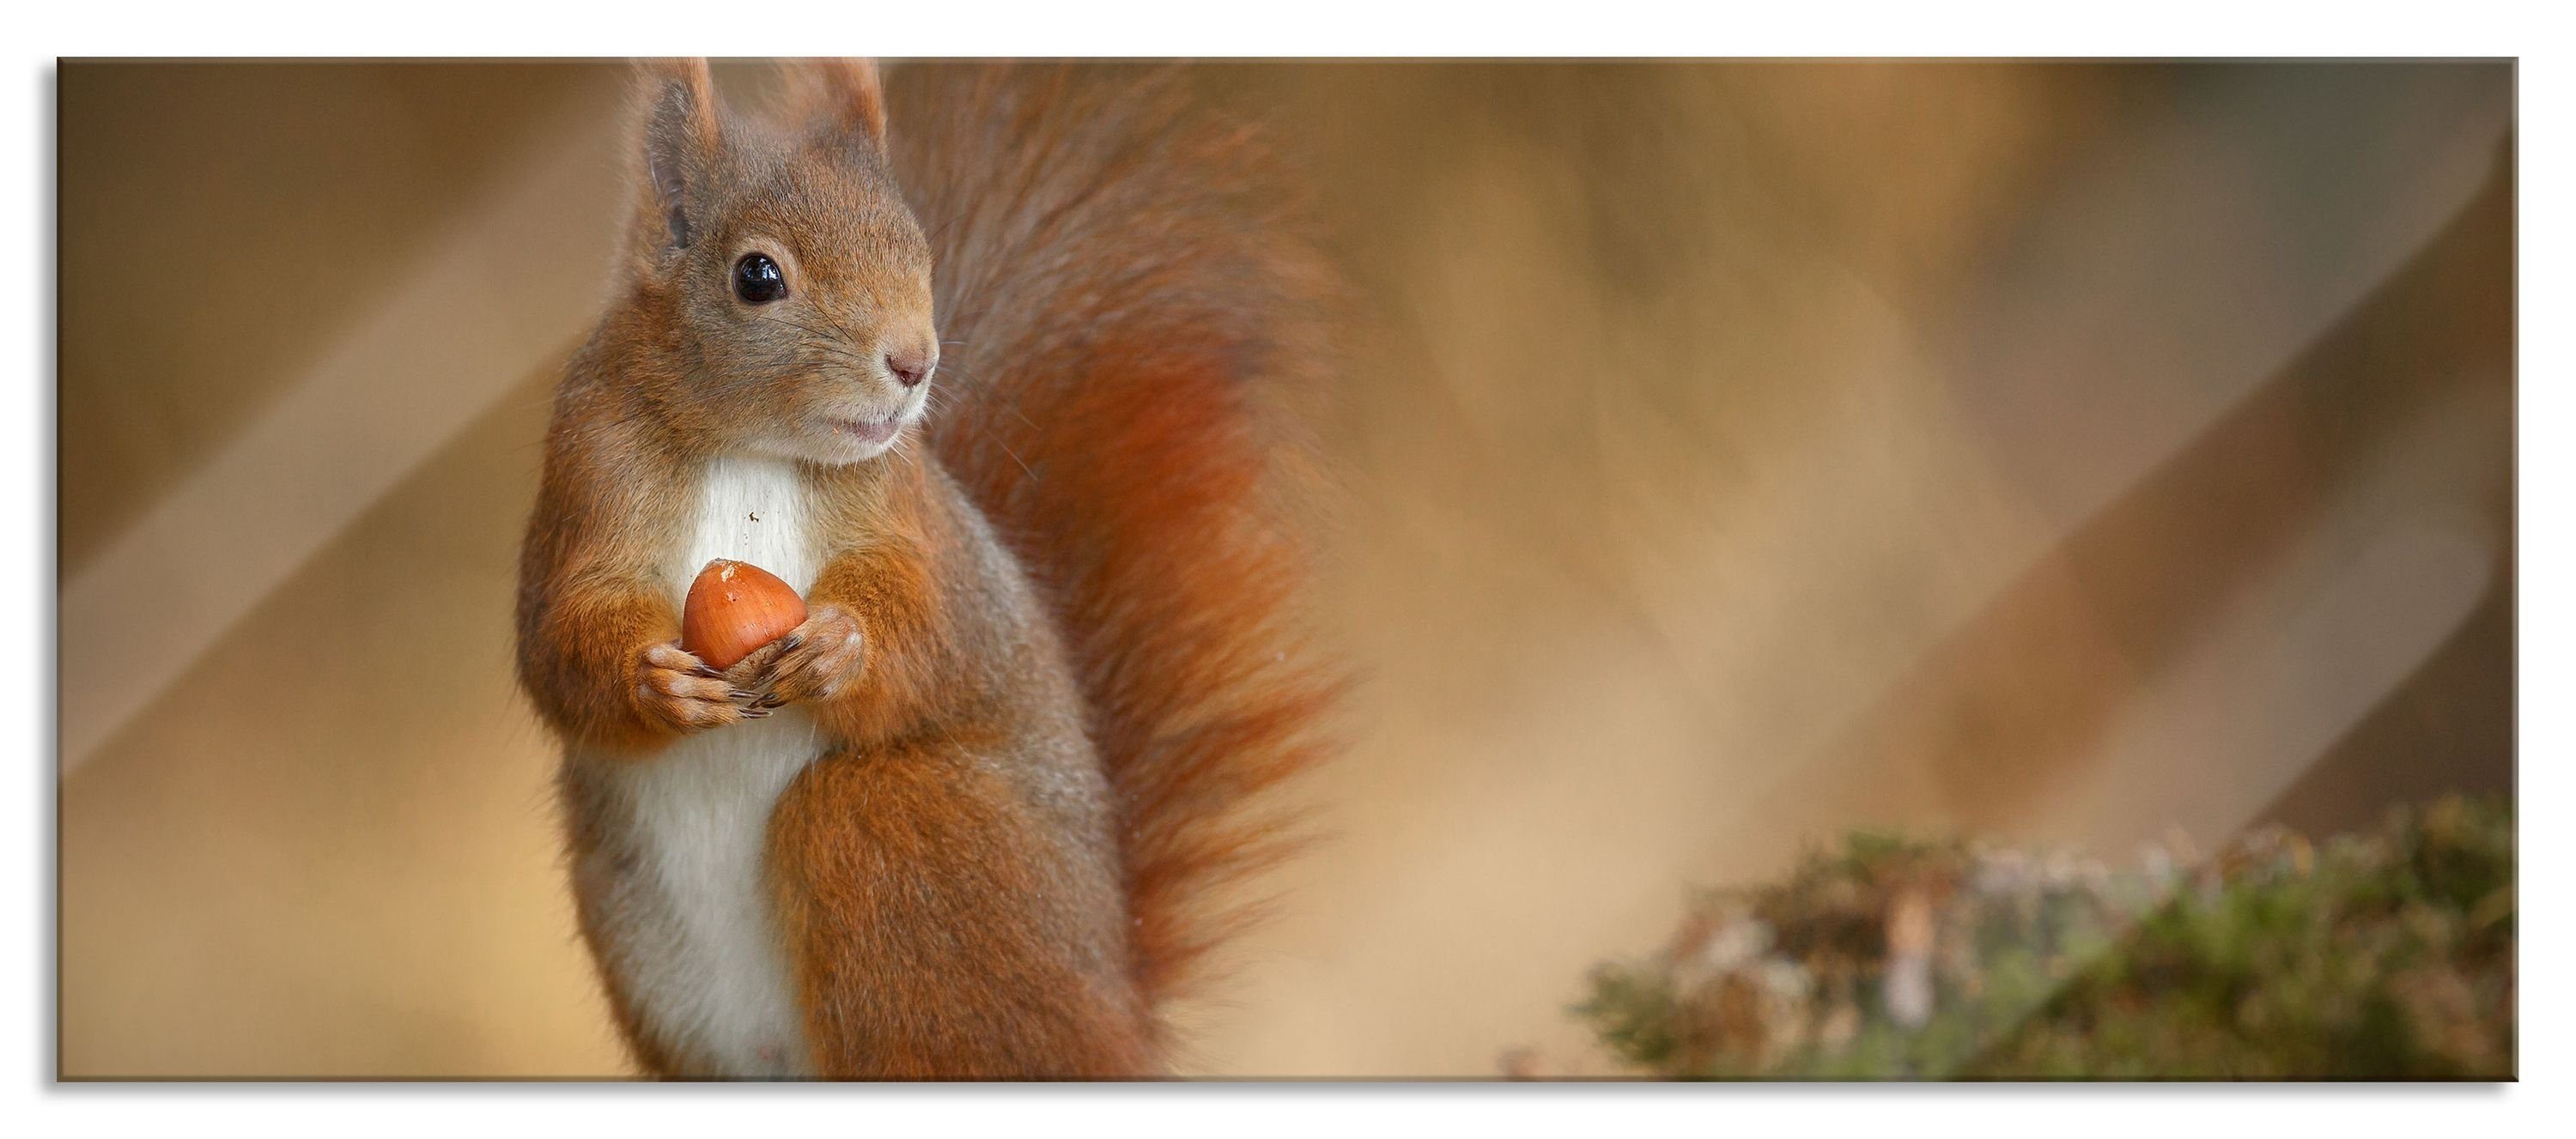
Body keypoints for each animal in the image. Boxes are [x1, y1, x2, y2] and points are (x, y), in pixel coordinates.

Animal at [514, 58, 1337, 1079]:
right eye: (757, 276)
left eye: (919, 249)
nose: (915, 363)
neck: (750, 449)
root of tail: (1115, 1018)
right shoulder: (587, 475)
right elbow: (556, 643)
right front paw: (655, 681)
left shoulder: (915, 520)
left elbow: (933, 624)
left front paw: (844, 648)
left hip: (909, 838)